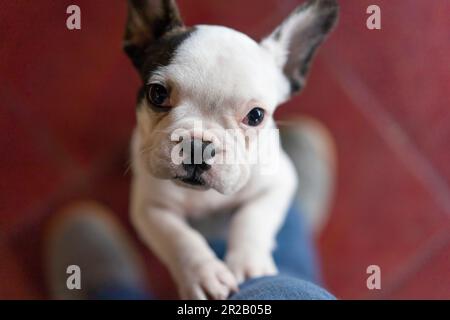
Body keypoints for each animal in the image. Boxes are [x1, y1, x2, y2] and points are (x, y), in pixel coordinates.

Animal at [124, 0, 338, 300]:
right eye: (157, 94)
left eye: (256, 116)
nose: (197, 147)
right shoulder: (149, 207)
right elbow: (178, 237)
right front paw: (203, 274)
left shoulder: (280, 182)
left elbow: (253, 219)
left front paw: (249, 266)